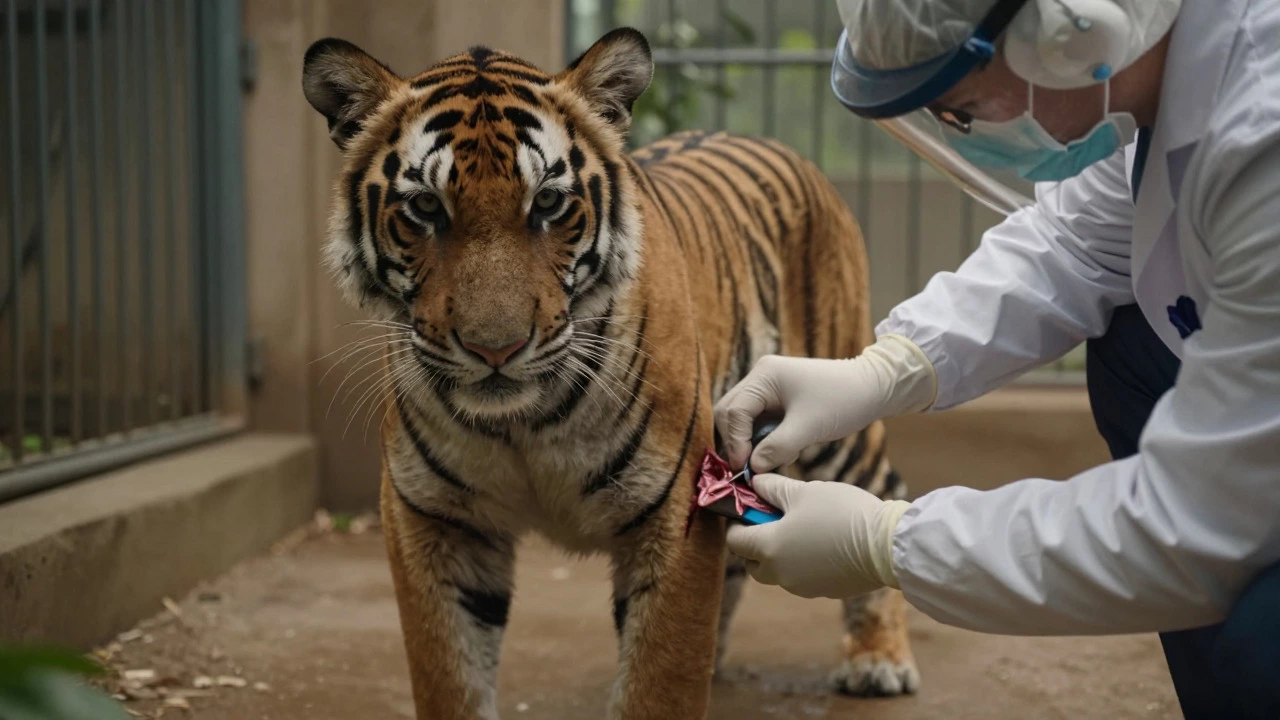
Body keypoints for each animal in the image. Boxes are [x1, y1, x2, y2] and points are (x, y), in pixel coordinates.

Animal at [302, 27, 919, 720]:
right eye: (427, 208)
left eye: (547, 201)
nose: (496, 349)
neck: (522, 424)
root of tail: (780, 146)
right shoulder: (432, 518)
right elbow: (450, 680)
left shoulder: (674, 512)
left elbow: (658, 681)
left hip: (832, 418)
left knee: (881, 489)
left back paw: (878, 659)